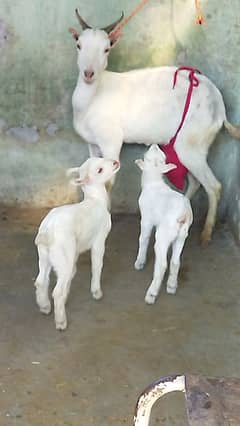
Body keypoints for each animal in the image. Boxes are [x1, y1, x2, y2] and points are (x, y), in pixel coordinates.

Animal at [69, 9, 240, 243]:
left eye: (106, 49)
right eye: (79, 45)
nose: (88, 73)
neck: (93, 97)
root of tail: (220, 108)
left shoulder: (111, 140)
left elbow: (109, 182)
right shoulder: (93, 144)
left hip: (192, 142)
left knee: (213, 185)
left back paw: (206, 234)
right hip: (194, 146)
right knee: (196, 182)